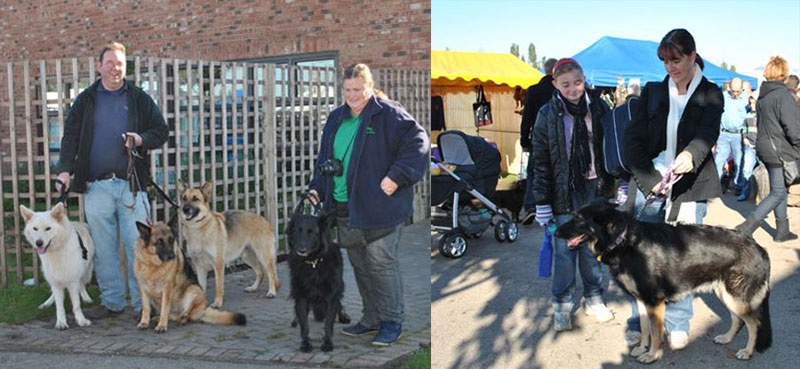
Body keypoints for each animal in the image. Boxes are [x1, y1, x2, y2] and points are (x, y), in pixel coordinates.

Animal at [552, 200, 772, 360]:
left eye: (578, 219)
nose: (554, 231)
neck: (622, 241)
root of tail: (759, 248)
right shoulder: (642, 301)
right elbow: (645, 328)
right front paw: (643, 348)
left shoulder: (654, 302)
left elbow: (656, 332)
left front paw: (652, 355)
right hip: (726, 295)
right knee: (738, 320)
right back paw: (726, 338)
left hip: (736, 299)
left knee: (754, 323)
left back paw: (747, 352)